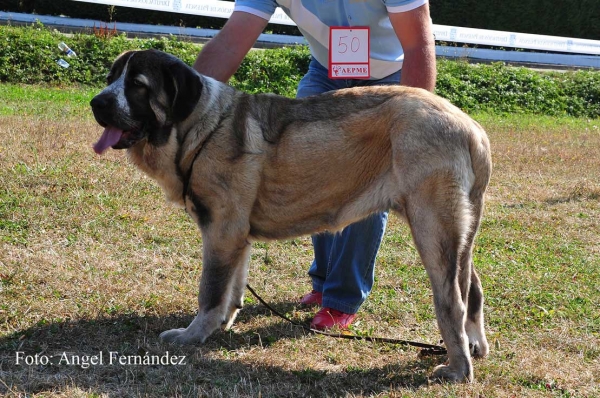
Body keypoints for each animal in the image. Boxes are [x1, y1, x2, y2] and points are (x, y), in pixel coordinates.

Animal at [90, 49, 492, 382]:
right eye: (112, 77)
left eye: (137, 85)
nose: (97, 102)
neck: (200, 128)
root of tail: (472, 128)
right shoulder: (235, 237)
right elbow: (233, 288)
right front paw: (223, 324)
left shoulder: (220, 232)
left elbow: (210, 291)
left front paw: (193, 335)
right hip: (458, 234)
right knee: (473, 287)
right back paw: (474, 346)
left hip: (432, 228)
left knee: (452, 302)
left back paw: (457, 369)